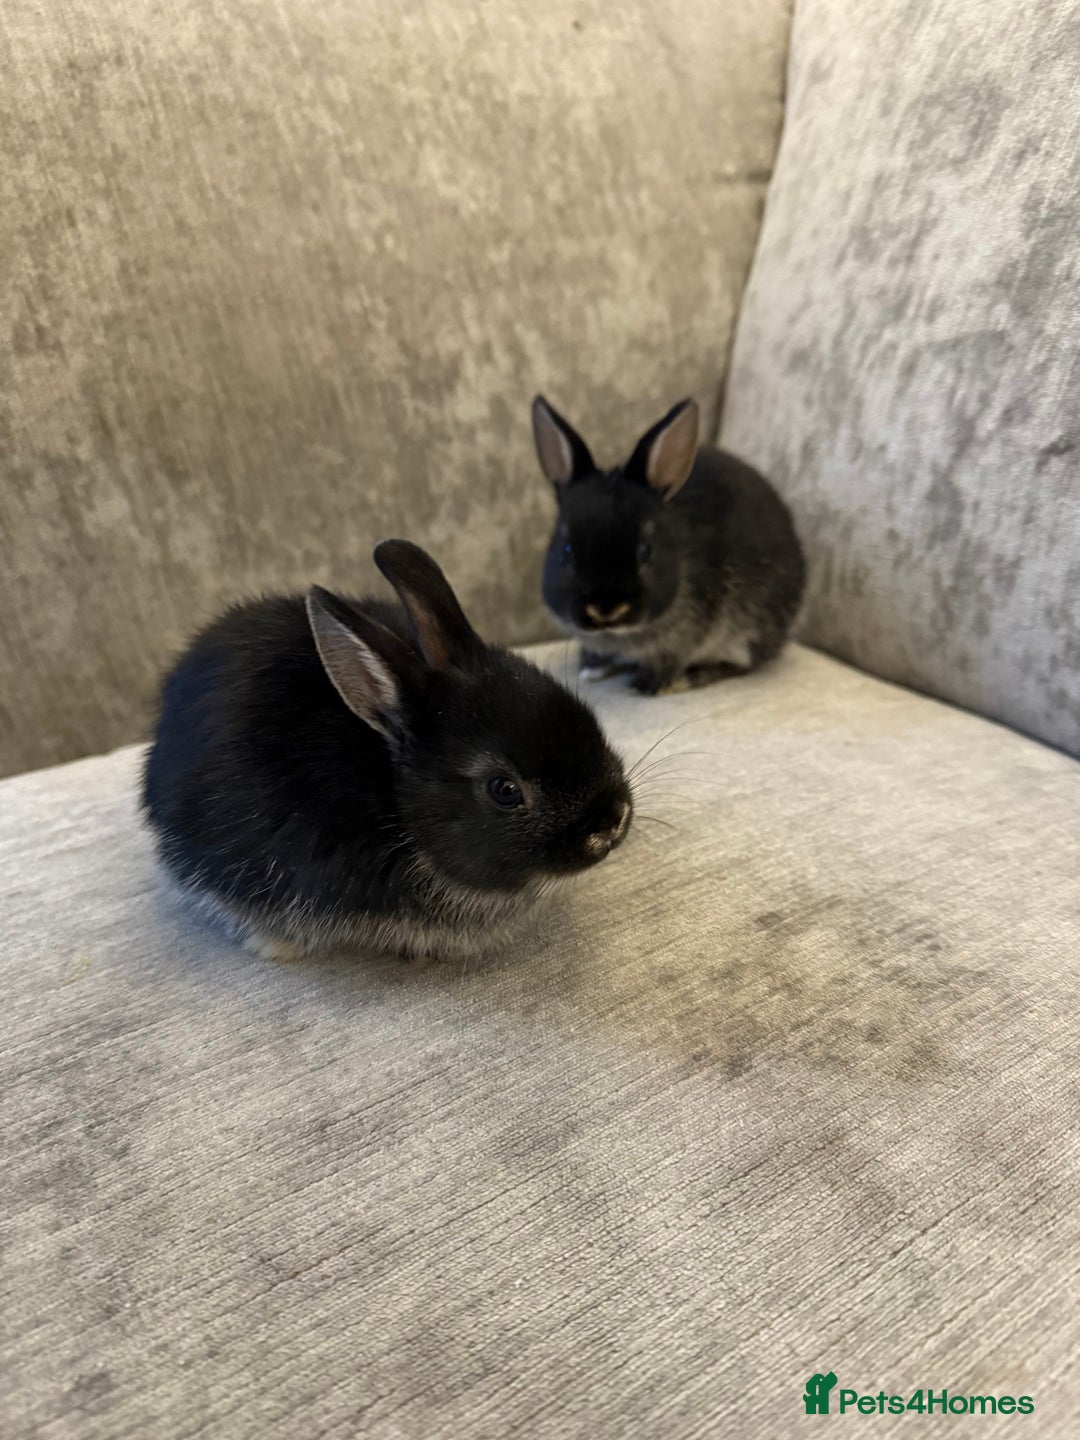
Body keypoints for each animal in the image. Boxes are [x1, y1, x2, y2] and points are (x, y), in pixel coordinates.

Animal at [532, 395, 806, 694]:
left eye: (645, 552)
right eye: (567, 551)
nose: (605, 610)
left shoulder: (687, 637)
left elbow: (670, 661)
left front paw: (648, 685)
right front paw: (591, 670)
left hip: (750, 630)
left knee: (742, 664)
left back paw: (692, 677)